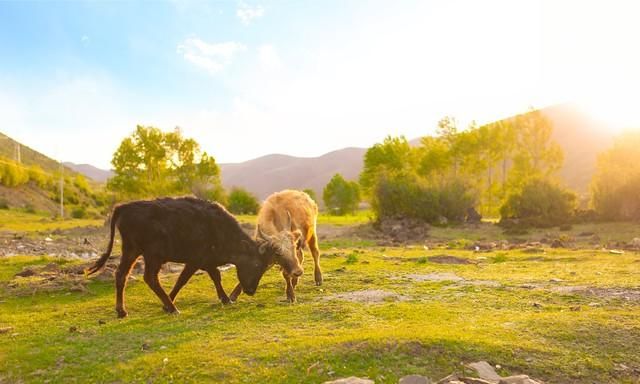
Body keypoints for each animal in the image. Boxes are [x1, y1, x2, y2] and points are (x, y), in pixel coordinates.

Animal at [85, 196, 276, 316]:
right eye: (257, 265)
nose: (250, 291)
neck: (220, 230)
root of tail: (123, 207)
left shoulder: (201, 261)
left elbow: (191, 279)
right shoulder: (198, 260)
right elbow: (204, 277)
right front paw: (226, 299)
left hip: (132, 251)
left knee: (121, 275)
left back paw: (122, 311)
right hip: (152, 256)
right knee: (150, 278)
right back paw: (173, 308)